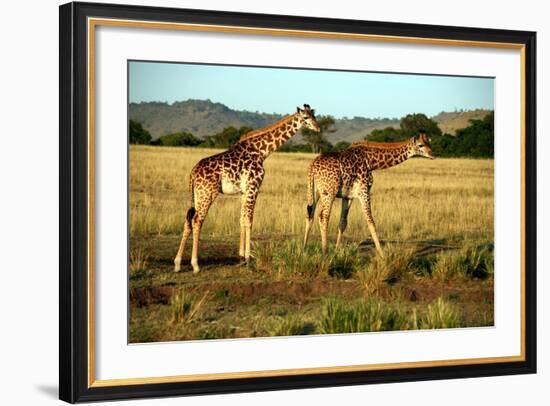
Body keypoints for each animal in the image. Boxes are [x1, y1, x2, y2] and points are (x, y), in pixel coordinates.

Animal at [175, 104, 322, 272]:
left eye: (314, 115)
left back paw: (178, 263)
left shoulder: (244, 191)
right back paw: (195, 264)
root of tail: (192, 174)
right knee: (197, 220)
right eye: (305, 117)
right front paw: (247, 257)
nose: (318, 128)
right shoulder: (254, 186)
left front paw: (242, 255)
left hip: (197, 195)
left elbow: (242, 218)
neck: (261, 151)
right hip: (208, 193)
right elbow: (249, 219)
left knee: (188, 220)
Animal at [302, 132, 436, 255]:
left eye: (429, 142)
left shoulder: (348, 195)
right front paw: (382, 254)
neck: (371, 161)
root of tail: (312, 167)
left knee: (310, 214)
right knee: (323, 216)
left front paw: (336, 251)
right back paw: (324, 252)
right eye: (421, 145)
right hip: (329, 192)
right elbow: (371, 222)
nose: (433, 154)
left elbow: (342, 223)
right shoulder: (364, 191)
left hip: (315, 191)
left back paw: (304, 248)